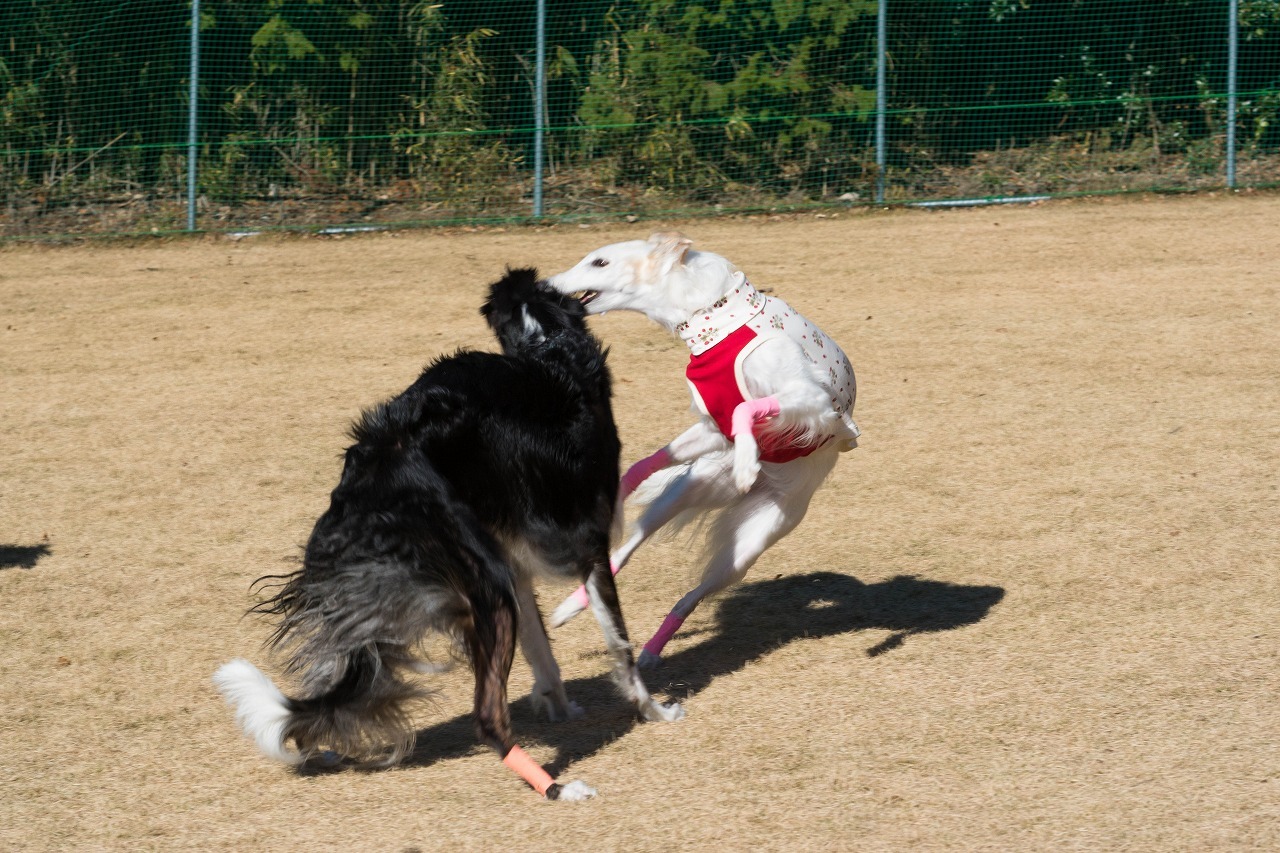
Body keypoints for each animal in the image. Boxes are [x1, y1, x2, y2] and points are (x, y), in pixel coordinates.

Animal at [215, 268, 686, 799]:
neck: (547, 344)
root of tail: (382, 459)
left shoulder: (516, 565)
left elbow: (543, 653)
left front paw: (561, 707)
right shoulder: (590, 549)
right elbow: (621, 648)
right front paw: (654, 711)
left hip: (480, 581)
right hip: (485, 585)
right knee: (487, 716)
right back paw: (557, 789)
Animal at [542, 230, 860, 666]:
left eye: (599, 262)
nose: (544, 285)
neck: (715, 314)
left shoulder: (813, 401)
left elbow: (746, 408)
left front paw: (746, 463)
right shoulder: (714, 427)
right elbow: (647, 462)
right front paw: (625, 485)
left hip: (747, 549)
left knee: (689, 597)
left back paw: (651, 651)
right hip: (686, 491)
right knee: (627, 548)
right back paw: (572, 607)